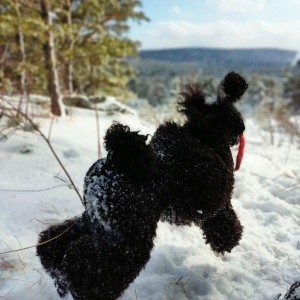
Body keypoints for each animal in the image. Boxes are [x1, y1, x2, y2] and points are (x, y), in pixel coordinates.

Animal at [36, 71, 247, 298]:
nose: (242, 129)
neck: (204, 134)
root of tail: (114, 162)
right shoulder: (219, 202)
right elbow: (226, 222)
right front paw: (228, 241)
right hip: (130, 235)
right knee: (89, 264)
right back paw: (84, 290)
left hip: (98, 221)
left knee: (55, 243)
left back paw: (58, 276)